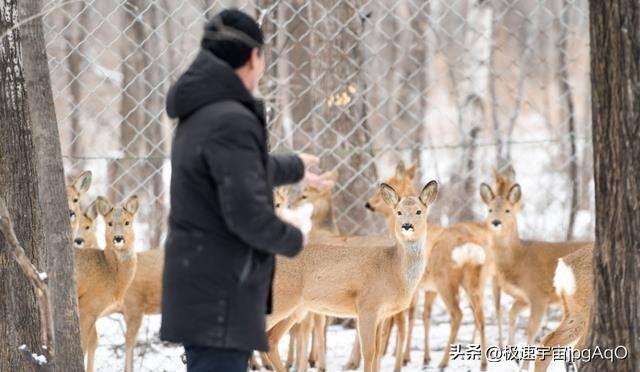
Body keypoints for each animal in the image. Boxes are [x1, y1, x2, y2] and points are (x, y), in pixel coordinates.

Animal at [75, 195, 139, 372]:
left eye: (127, 222)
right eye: (109, 223)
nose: (118, 238)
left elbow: (93, 342)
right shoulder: (87, 307)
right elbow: (84, 346)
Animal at [262, 182, 438, 372]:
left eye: (419, 211)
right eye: (398, 212)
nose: (407, 225)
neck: (393, 269)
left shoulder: (382, 314)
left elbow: (378, 351)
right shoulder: (367, 306)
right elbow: (369, 352)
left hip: (296, 309)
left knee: (272, 339)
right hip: (281, 300)